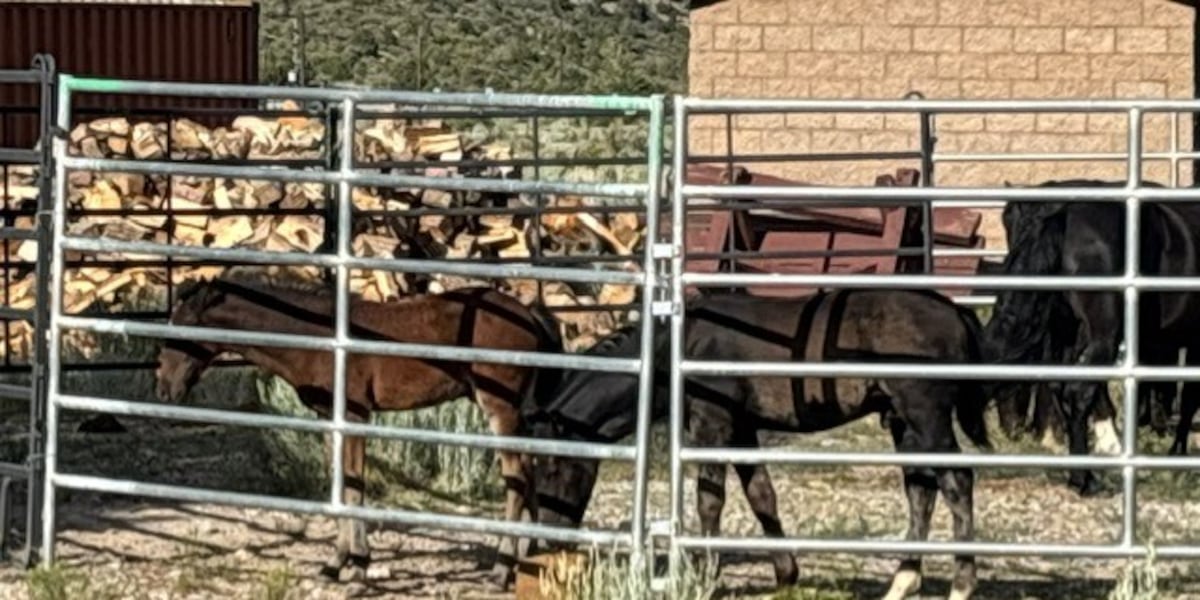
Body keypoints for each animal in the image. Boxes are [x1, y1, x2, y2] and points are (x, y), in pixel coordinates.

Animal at [152, 277, 564, 586]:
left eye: (185, 326)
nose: (164, 388)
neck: (317, 337)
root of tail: (528, 311)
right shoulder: (328, 419)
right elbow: (342, 484)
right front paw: (339, 563)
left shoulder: (354, 414)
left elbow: (353, 487)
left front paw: (356, 563)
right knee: (529, 470)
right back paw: (529, 557)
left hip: (499, 409)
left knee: (516, 477)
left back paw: (502, 568)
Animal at [521, 288, 993, 600]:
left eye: (554, 465)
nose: (551, 533)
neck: (675, 345)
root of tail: (956, 312)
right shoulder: (743, 430)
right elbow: (762, 495)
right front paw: (785, 573)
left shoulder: (712, 425)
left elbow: (710, 500)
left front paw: (705, 575)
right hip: (902, 423)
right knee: (921, 491)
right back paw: (903, 580)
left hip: (926, 418)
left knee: (957, 482)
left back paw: (961, 585)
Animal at [984, 178, 1200, 497]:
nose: (1011, 429)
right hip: (1101, 336)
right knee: (1079, 392)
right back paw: (1084, 478)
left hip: (1067, 331)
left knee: (1062, 387)